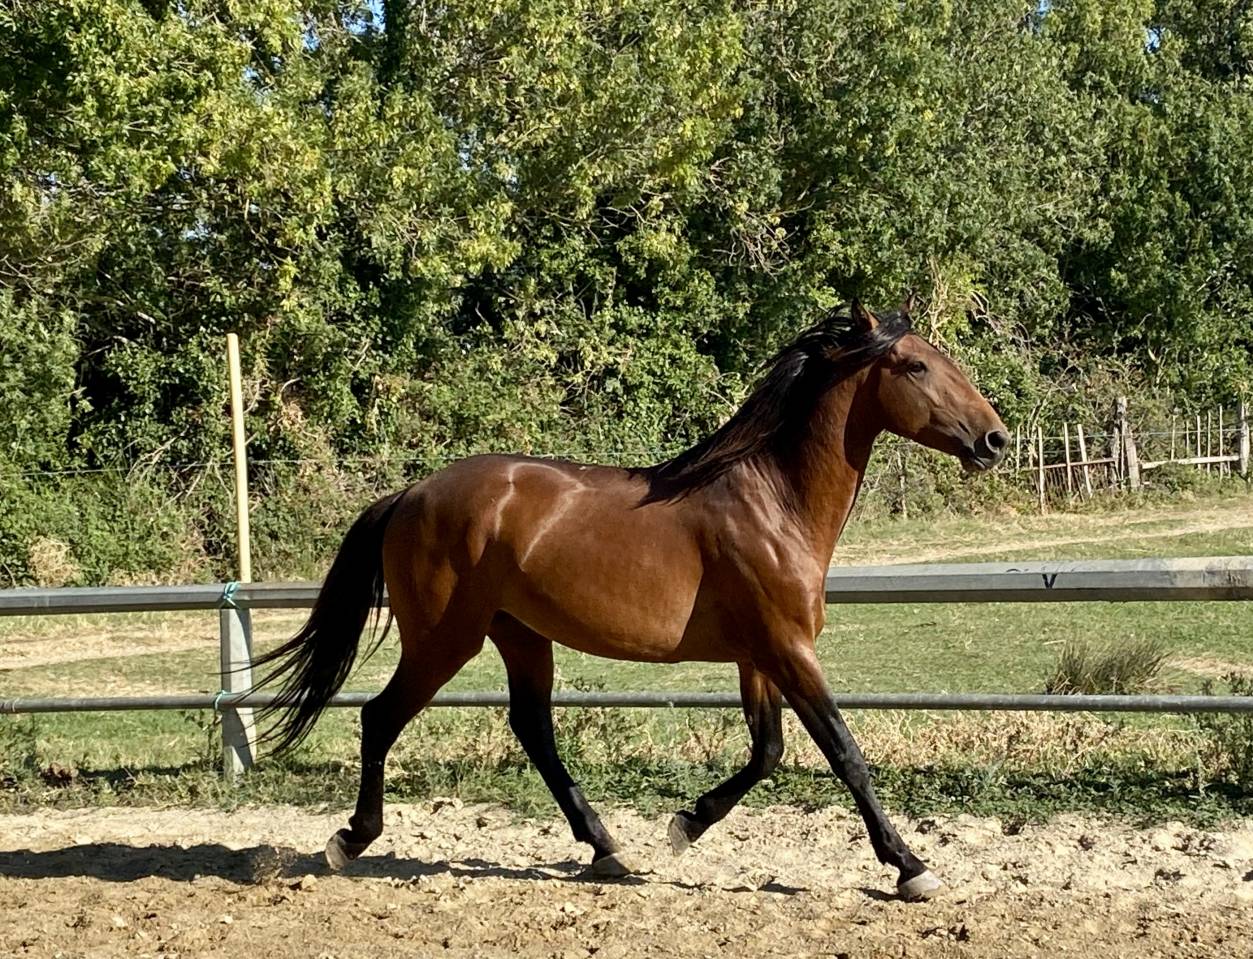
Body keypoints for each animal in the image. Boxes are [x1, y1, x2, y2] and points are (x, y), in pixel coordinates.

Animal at [256, 299, 1008, 901]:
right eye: (915, 366)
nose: (994, 438)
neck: (773, 504)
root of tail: (411, 493)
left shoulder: (759, 656)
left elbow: (767, 751)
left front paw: (685, 824)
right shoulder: (788, 650)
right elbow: (844, 753)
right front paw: (910, 866)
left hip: (520, 634)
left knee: (532, 728)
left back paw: (605, 849)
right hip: (445, 638)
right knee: (380, 717)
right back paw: (350, 839)